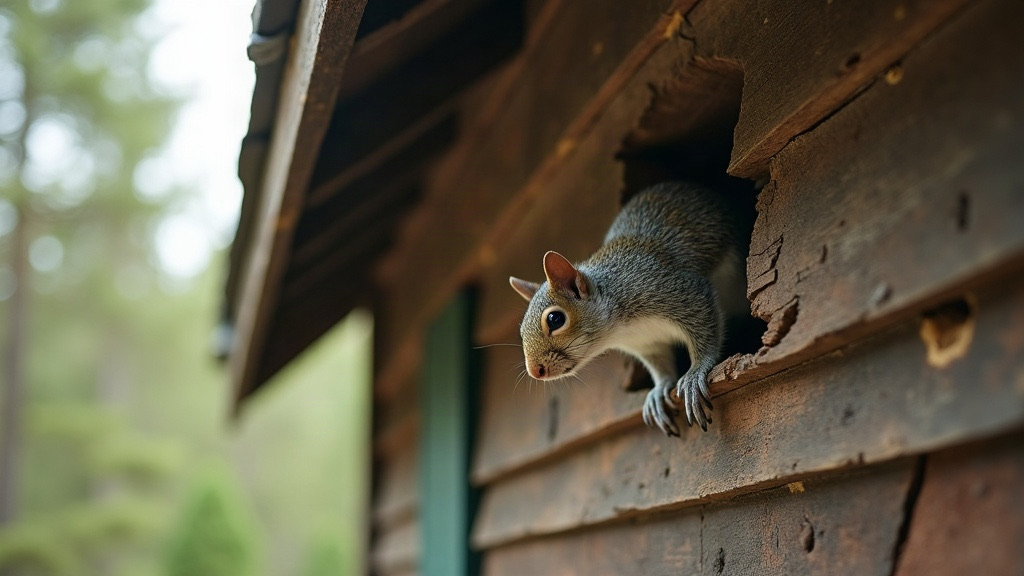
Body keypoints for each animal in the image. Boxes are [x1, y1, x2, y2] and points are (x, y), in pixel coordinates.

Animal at [509, 181, 747, 436]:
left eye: (555, 319)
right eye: (521, 330)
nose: (535, 371)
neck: (621, 328)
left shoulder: (678, 291)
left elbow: (705, 327)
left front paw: (695, 373)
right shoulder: (647, 344)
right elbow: (660, 365)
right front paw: (659, 390)